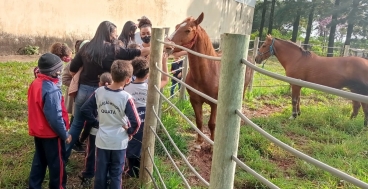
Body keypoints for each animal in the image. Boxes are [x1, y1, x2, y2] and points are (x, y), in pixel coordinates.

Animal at [167, 12, 253, 149]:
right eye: (176, 26)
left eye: (188, 30)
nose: (167, 46)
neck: (206, 74)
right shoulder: (195, 101)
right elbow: (199, 121)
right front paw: (199, 142)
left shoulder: (215, 104)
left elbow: (212, 124)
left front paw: (212, 145)